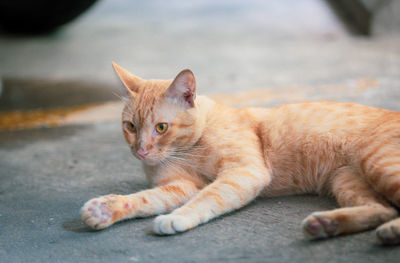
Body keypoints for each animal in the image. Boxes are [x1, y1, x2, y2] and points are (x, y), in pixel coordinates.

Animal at [81, 63, 400, 246]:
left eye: (161, 127)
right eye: (131, 126)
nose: (142, 150)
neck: (191, 146)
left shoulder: (243, 171)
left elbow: (208, 196)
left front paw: (178, 217)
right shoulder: (179, 185)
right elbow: (147, 199)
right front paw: (106, 209)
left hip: (379, 163)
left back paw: (388, 231)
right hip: (346, 180)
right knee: (382, 209)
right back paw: (326, 225)